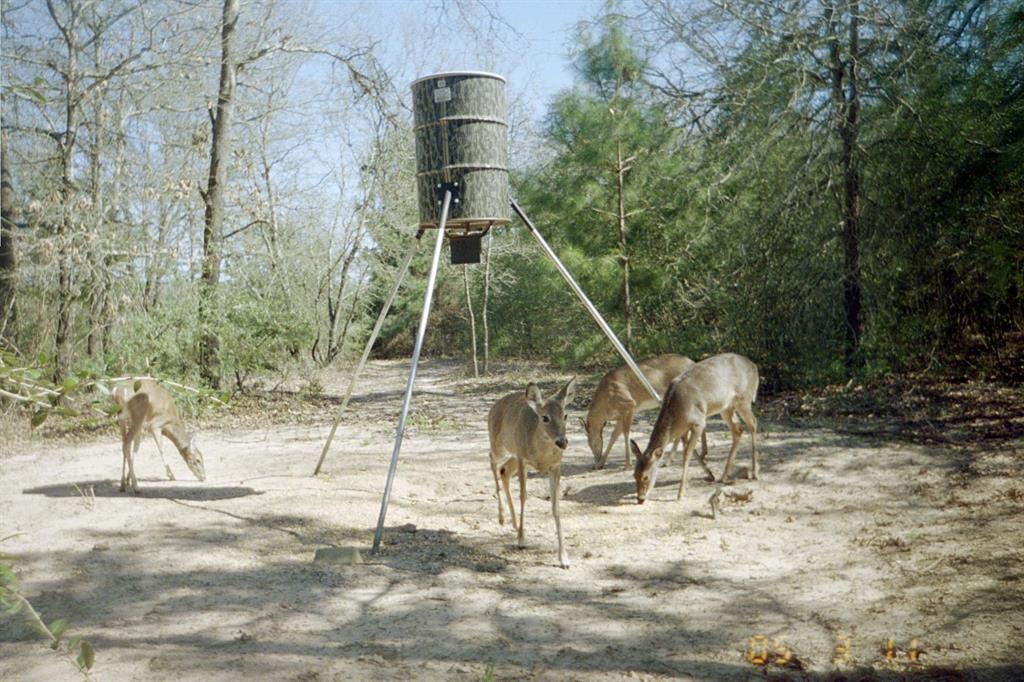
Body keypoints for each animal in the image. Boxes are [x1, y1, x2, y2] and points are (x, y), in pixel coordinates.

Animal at [487, 376, 577, 569]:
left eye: (565, 415)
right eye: (545, 417)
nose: (562, 442)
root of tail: (494, 406)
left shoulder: (555, 466)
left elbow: (556, 505)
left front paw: (564, 558)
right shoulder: (523, 459)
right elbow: (523, 496)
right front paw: (521, 540)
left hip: (514, 454)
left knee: (504, 470)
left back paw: (514, 523)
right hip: (500, 444)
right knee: (492, 459)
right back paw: (502, 517)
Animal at [626, 352, 757, 501]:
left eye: (645, 477)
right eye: (634, 475)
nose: (640, 498)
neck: (677, 413)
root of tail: (755, 367)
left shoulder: (699, 421)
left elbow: (687, 453)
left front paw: (680, 493)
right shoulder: (683, 428)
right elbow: (685, 449)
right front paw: (693, 481)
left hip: (744, 399)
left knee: (753, 423)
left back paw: (754, 473)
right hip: (726, 408)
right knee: (738, 430)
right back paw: (724, 477)